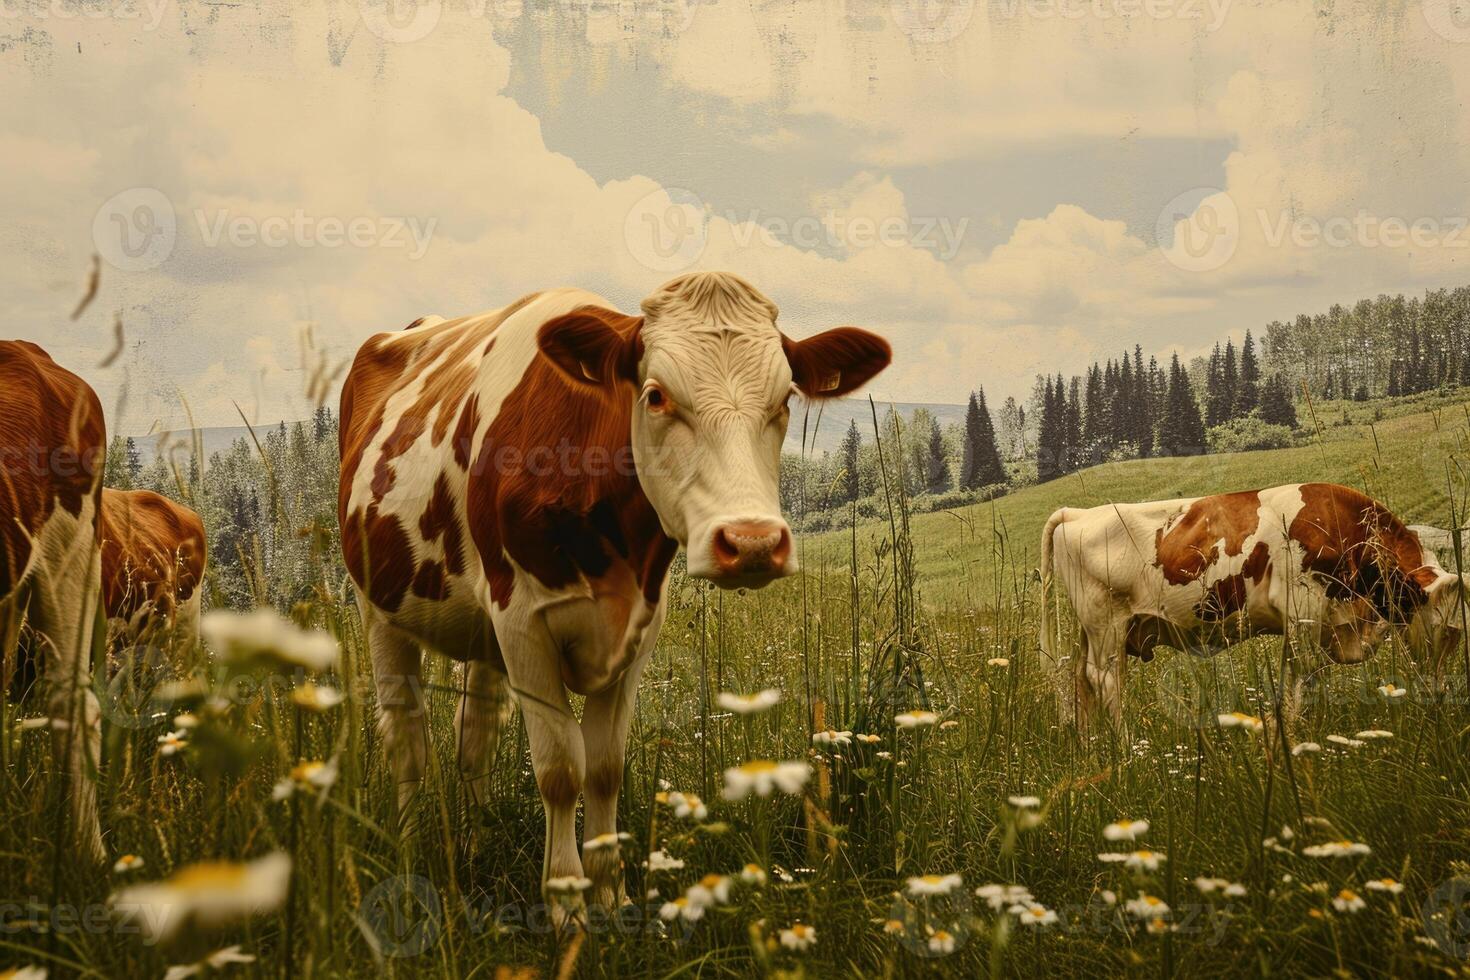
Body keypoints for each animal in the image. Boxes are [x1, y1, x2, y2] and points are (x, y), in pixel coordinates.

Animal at [341, 270, 893, 910]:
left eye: (784, 401)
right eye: (655, 395)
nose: (752, 541)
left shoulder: (638, 627)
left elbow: (604, 764)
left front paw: (611, 898)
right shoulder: (521, 620)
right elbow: (560, 770)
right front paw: (567, 906)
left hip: (481, 638)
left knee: (472, 735)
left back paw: (478, 843)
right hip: (379, 607)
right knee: (407, 738)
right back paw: (411, 855)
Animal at [1040, 484, 1464, 725]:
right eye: (1449, 631)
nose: (1441, 695)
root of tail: (1077, 513)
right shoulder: (1303, 612)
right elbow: (1302, 679)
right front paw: (1295, 732)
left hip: (1092, 630)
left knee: (1081, 679)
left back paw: (1092, 748)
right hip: (1106, 623)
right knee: (1104, 680)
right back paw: (1126, 747)